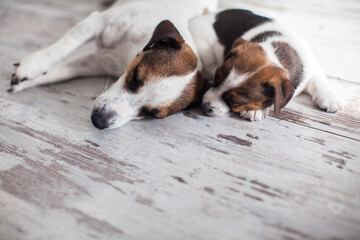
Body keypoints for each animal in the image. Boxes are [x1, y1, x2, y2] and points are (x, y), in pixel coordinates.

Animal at [9, 0, 218, 129]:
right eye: (135, 76)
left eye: (151, 114)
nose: (99, 121)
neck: (128, 53)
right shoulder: (96, 23)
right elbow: (63, 46)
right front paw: (34, 64)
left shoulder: (96, 62)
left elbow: (60, 71)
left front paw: (26, 81)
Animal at [190, 9, 344, 121]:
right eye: (216, 80)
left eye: (234, 102)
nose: (205, 106)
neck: (278, 55)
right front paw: (256, 110)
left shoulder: (313, 67)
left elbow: (319, 80)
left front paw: (330, 96)